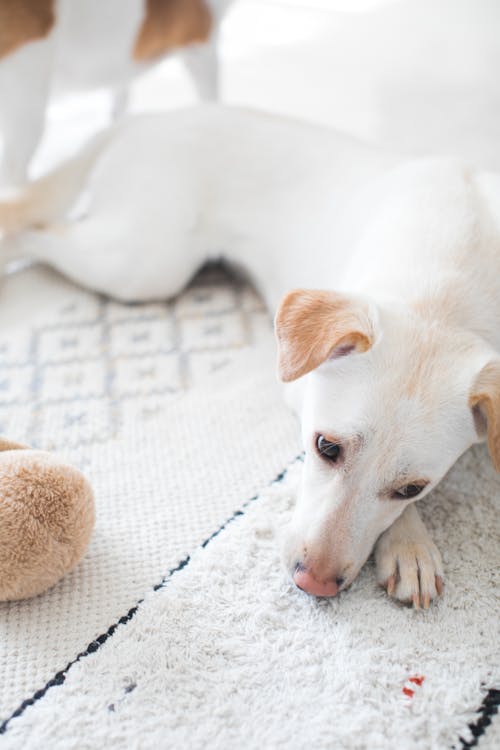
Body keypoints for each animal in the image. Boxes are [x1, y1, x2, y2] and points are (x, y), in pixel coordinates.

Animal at [0, 107, 500, 612]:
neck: (445, 293)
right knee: (30, 229)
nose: (314, 583)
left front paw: (406, 541)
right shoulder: (298, 386)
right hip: (142, 264)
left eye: (412, 488)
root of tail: (155, 115)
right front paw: (409, 543)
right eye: (325, 447)